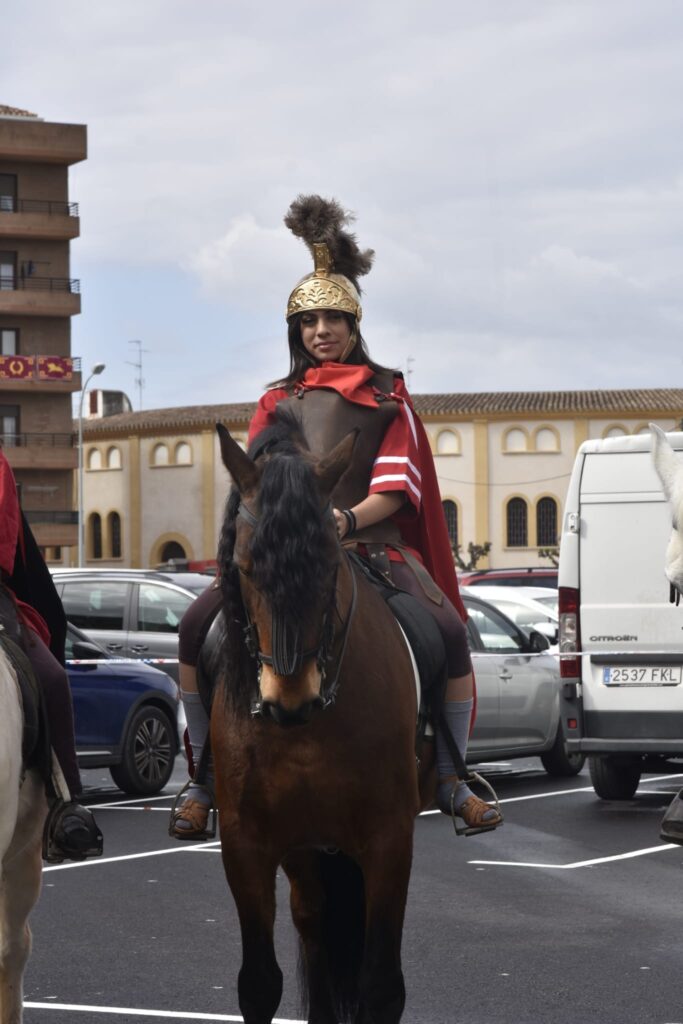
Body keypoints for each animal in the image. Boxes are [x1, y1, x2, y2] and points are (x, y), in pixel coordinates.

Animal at [210, 415, 436, 1024]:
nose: (290, 701)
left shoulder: (389, 838)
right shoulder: (246, 843)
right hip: (305, 850)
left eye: (330, 564)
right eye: (245, 568)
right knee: (314, 925)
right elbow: (259, 983)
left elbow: (381, 986)